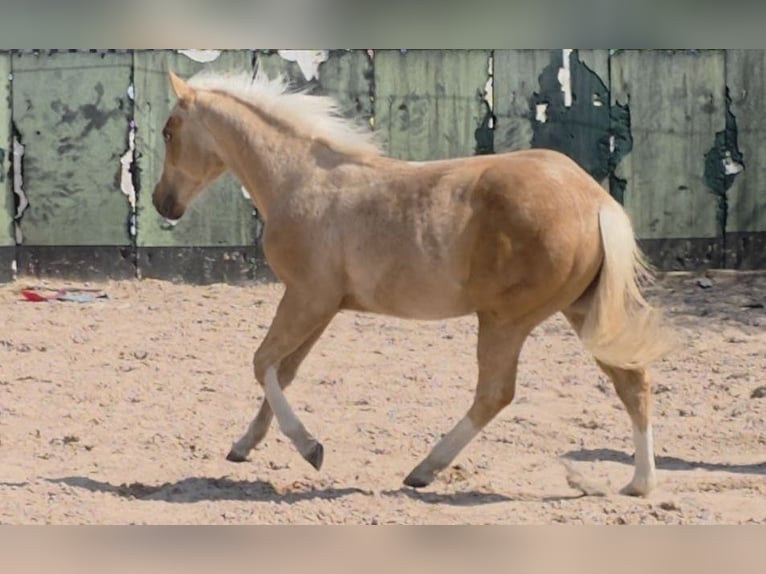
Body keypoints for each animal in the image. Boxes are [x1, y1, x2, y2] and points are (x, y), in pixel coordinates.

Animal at [152, 68, 676, 496]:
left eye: (168, 131)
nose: (161, 202)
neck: (300, 179)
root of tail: (596, 200)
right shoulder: (323, 306)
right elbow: (283, 372)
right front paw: (244, 445)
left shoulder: (307, 297)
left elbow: (263, 364)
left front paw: (310, 448)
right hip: (582, 310)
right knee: (632, 382)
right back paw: (639, 484)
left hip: (505, 319)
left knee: (495, 393)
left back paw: (424, 470)